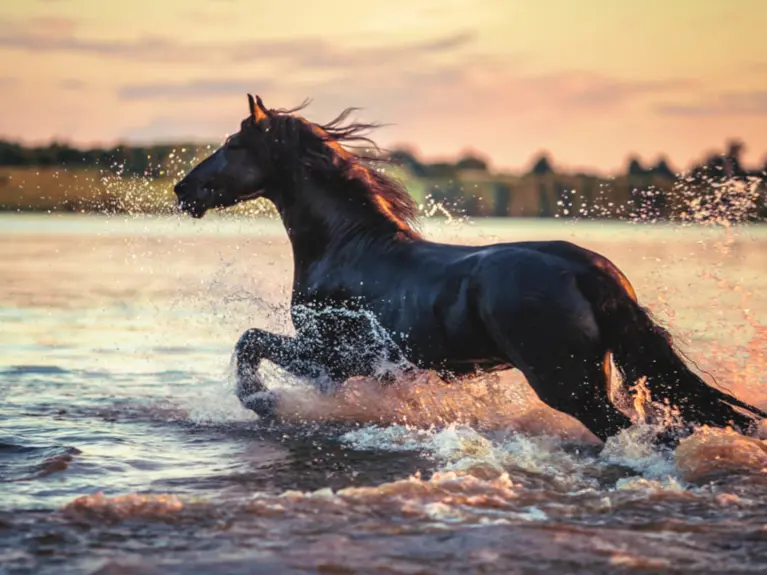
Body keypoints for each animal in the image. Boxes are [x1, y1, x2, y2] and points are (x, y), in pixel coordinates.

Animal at [174, 94, 767, 446]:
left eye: (233, 144)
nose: (183, 189)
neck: (348, 247)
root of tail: (590, 271)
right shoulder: (341, 367)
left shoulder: (332, 356)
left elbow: (249, 341)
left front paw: (265, 403)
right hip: (593, 378)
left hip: (566, 384)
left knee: (631, 433)